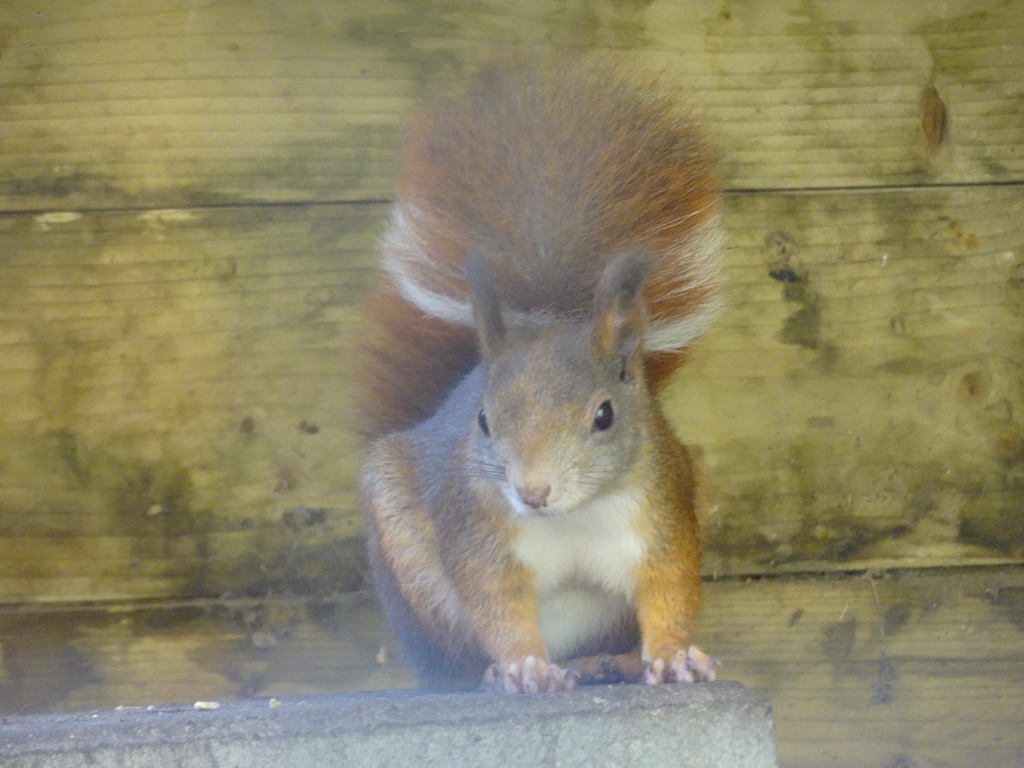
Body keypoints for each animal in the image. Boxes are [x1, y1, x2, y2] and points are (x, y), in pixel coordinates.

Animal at [356, 54, 724, 692]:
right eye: (483, 419)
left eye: (604, 416)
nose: (532, 491)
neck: (575, 517)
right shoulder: (480, 536)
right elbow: (497, 604)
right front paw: (523, 664)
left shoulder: (664, 518)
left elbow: (670, 591)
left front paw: (676, 655)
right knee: (458, 658)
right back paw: (498, 675)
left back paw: (610, 662)